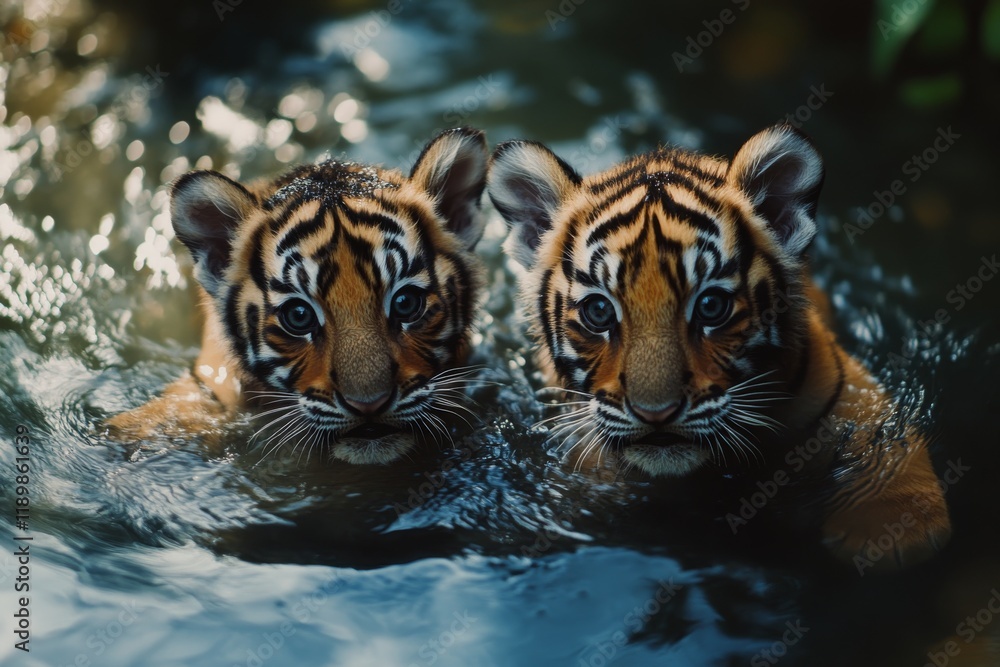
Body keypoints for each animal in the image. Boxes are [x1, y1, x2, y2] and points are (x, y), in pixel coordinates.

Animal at [486, 124, 951, 569]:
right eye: (599, 312)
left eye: (711, 306)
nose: (656, 414)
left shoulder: (848, 394)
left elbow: (883, 439)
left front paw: (894, 529)